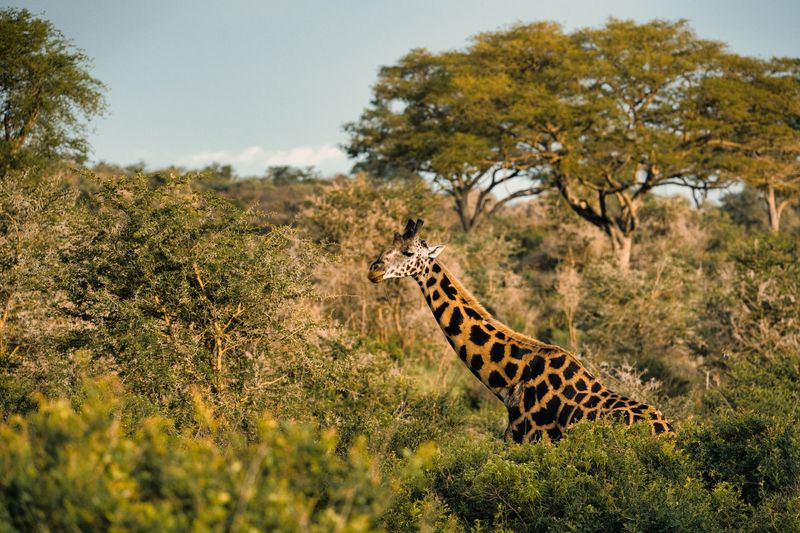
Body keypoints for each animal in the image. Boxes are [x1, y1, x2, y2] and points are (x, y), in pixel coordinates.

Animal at [368, 219, 673, 443]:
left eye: (409, 252)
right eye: (390, 243)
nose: (373, 270)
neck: (509, 378)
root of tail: (670, 435)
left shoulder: (528, 441)